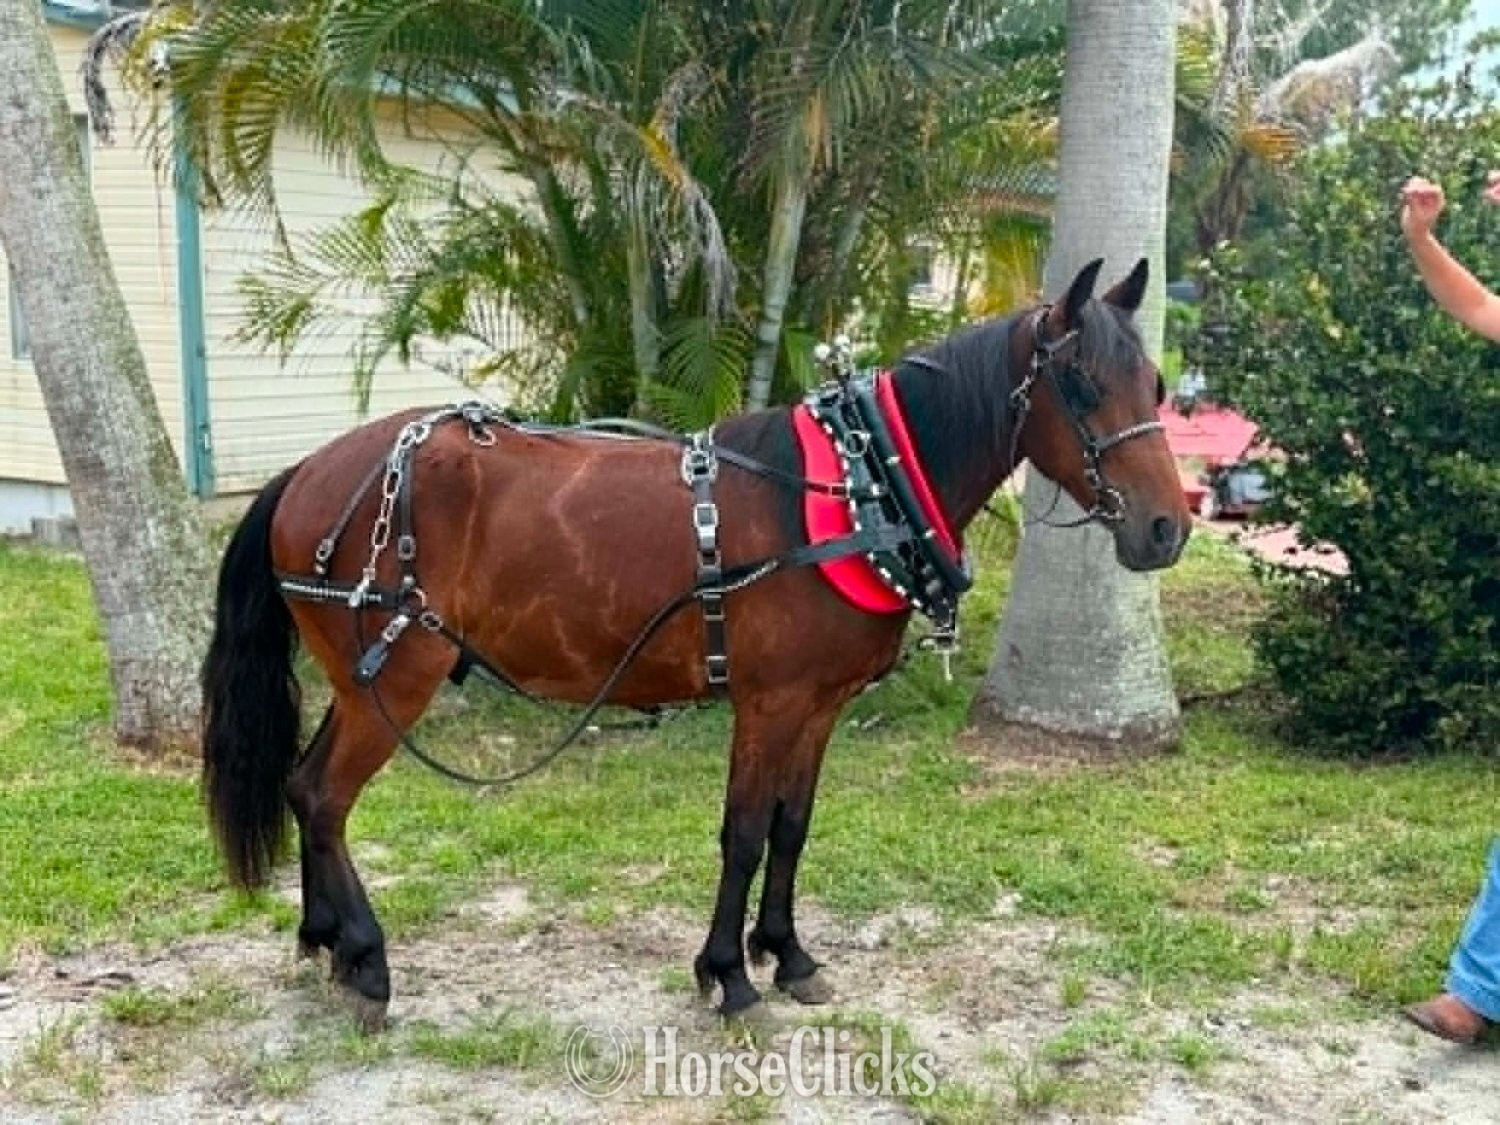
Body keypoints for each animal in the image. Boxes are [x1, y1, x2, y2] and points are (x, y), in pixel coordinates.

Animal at [200, 257, 1191, 1031]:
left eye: (1157, 386)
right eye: (1083, 386)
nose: (1166, 529)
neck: (853, 485)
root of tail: (308, 472)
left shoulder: (818, 706)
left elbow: (792, 828)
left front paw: (788, 955)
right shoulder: (768, 701)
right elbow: (744, 833)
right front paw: (729, 974)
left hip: (359, 681)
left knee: (302, 786)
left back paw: (326, 941)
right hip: (396, 679)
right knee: (325, 797)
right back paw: (367, 962)